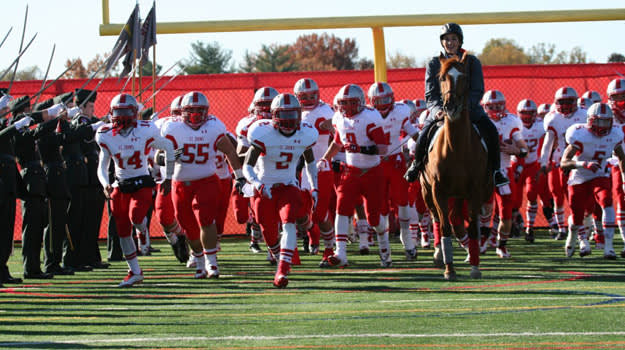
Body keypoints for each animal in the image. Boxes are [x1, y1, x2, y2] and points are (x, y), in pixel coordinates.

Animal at [420, 52, 492, 280]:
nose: (450, 106)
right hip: (427, 192)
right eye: (442, 78)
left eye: (464, 78)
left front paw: (475, 268)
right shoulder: (438, 190)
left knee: (458, 221)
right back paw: (438, 254)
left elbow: (473, 227)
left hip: (462, 194)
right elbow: (444, 227)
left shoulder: (475, 190)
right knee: (438, 218)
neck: (456, 147)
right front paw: (449, 269)